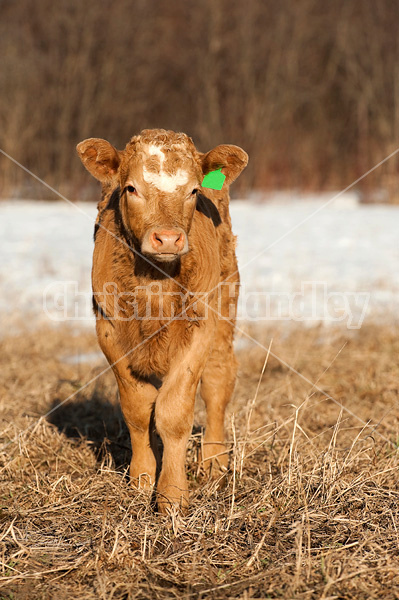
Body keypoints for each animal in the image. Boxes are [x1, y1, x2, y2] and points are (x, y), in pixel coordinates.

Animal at [76, 129, 248, 512]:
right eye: (131, 188)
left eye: (194, 191)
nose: (168, 238)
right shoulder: (109, 331)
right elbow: (138, 409)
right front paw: (141, 479)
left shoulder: (199, 328)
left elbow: (173, 411)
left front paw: (172, 494)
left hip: (225, 307)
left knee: (218, 381)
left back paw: (215, 461)